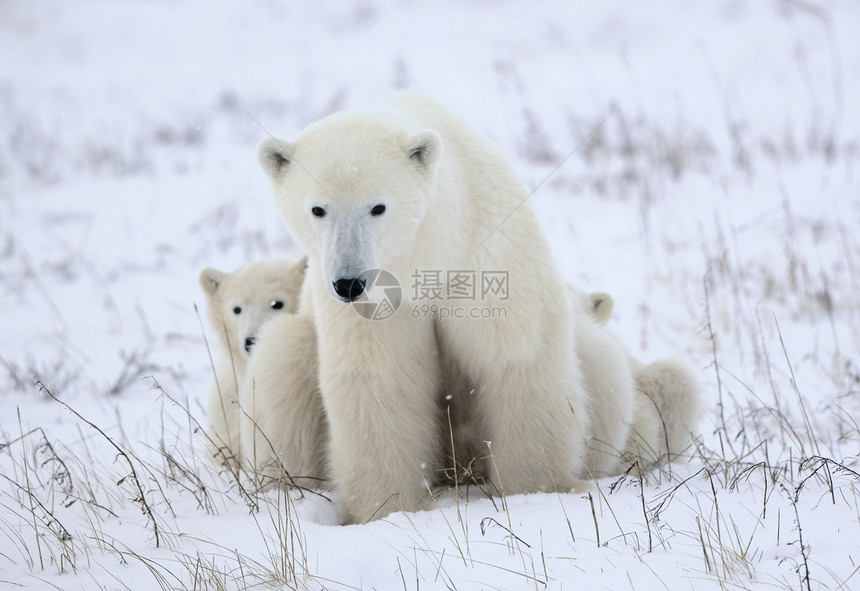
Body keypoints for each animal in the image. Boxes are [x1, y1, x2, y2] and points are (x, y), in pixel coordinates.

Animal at [256, 95, 700, 524]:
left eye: (377, 207)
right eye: (318, 209)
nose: (349, 282)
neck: (430, 256)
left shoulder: (484, 251)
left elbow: (517, 359)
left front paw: (534, 491)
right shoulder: (377, 303)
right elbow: (380, 382)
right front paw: (385, 509)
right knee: (283, 358)